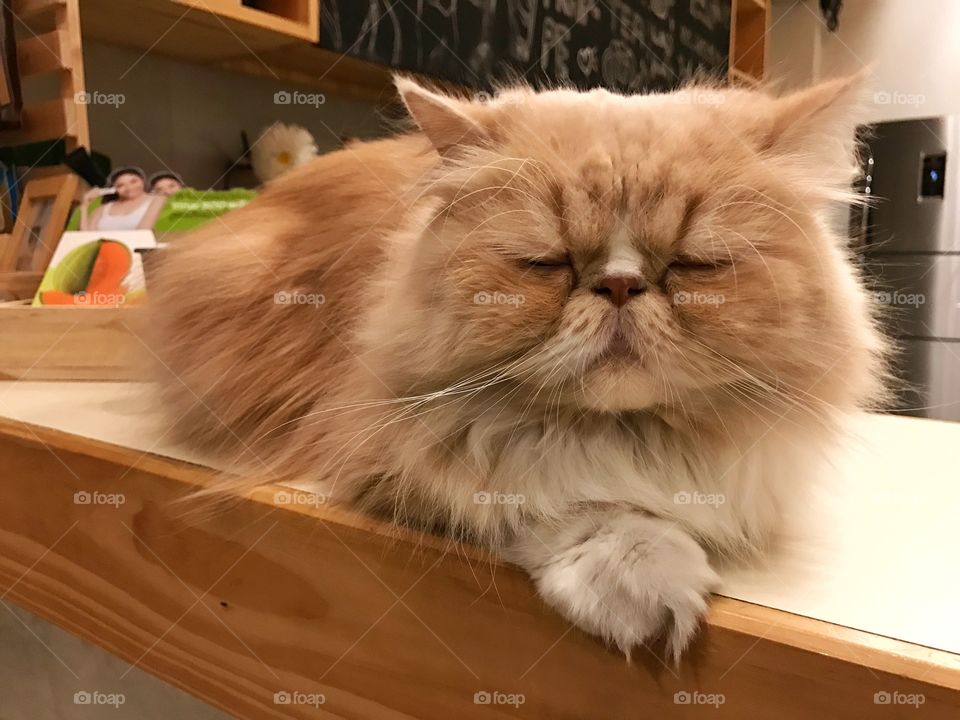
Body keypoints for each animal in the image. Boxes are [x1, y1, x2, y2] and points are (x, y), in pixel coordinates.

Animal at [146, 74, 888, 664]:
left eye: (693, 265)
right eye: (546, 263)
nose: (620, 286)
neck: (630, 436)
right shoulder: (378, 437)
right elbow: (550, 496)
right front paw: (643, 578)